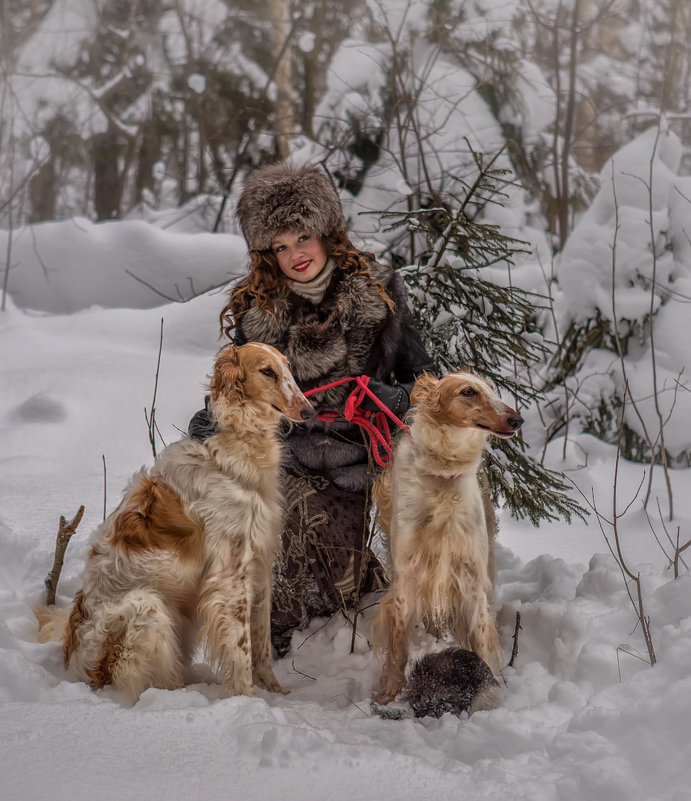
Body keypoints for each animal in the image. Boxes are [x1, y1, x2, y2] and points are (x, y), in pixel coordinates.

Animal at [37, 342, 314, 700]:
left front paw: (276, 693)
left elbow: (262, 643)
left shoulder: (260, 564)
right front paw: (249, 700)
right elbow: (241, 650)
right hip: (148, 607)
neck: (234, 438)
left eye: (287, 366)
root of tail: (74, 667)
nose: (309, 412)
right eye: (267, 371)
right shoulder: (230, 575)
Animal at [370, 372, 520, 704]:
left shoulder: (471, 579)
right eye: (469, 392)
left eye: (492, 389)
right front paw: (389, 694)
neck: (443, 475)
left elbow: (482, 644)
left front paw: (491, 687)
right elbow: (398, 649)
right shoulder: (406, 577)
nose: (517, 420)